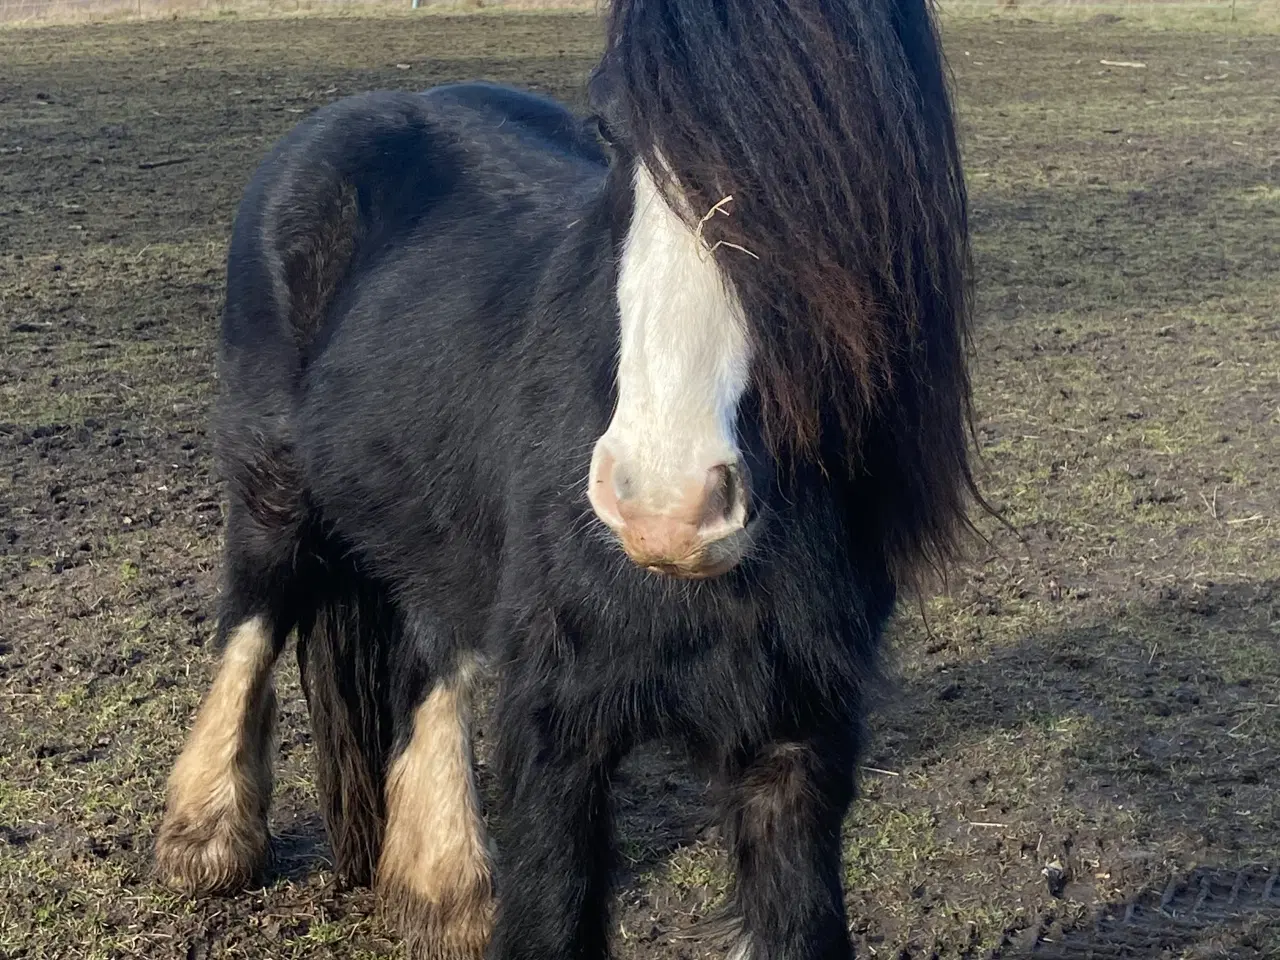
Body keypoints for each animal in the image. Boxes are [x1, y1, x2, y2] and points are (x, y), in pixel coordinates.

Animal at [154, 1, 972, 960]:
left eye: (834, 139)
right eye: (613, 130)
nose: (665, 505)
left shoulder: (798, 740)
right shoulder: (559, 731)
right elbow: (551, 912)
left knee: (433, 652)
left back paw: (444, 893)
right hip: (271, 488)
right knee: (252, 620)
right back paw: (207, 841)